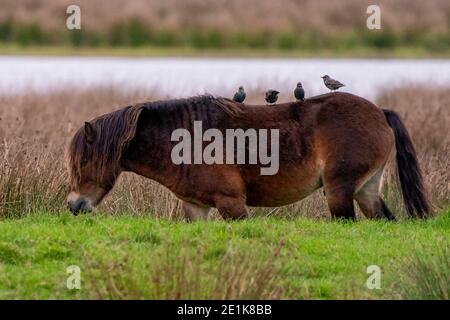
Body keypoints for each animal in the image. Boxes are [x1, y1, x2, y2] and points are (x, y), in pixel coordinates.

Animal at [66, 92, 428, 220]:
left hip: (340, 192)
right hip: (367, 190)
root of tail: (378, 112)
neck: (184, 139)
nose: (73, 205)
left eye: (84, 162)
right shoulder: (195, 207)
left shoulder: (232, 204)